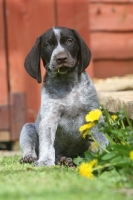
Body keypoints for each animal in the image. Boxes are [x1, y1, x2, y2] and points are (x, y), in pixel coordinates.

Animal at [20, 27, 109, 167]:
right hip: (28, 128)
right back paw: (33, 158)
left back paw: (67, 160)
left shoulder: (92, 113)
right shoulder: (49, 118)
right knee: (31, 147)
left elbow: (101, 137)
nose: (61, 58)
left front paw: (106, 153)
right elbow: (47, 144)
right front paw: (45, 161)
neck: (66, 82)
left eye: (69, 41)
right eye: (47, 45)